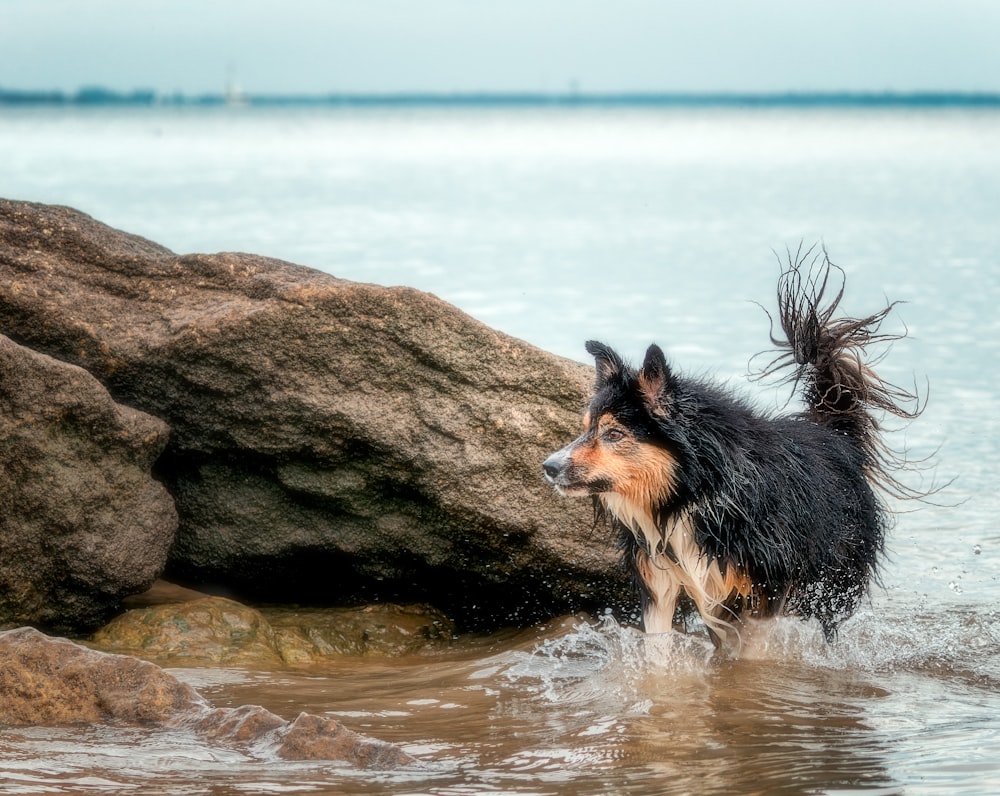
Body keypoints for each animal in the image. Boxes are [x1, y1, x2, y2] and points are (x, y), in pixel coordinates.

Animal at [548, 255, 920, 652]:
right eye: (585, 428)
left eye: (614, 434)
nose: (549, 467)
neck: (694, 490)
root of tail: (835, 434)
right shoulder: (661, 577)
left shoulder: (762, 585)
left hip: (830, 582)